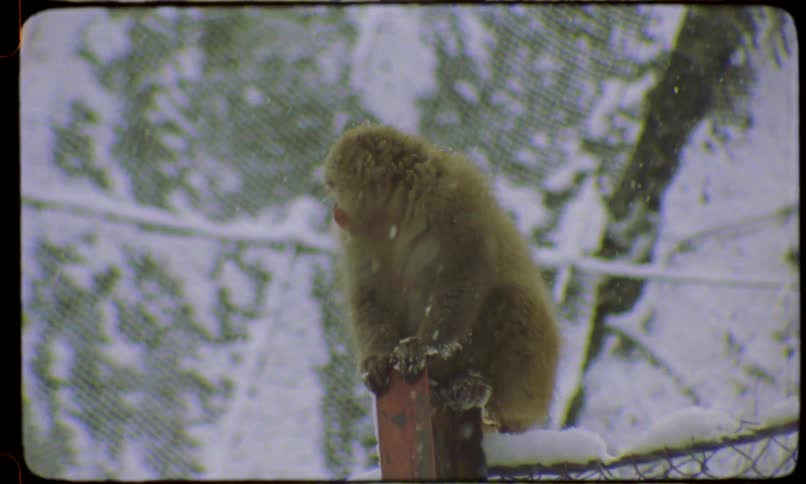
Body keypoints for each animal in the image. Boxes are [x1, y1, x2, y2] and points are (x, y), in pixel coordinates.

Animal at [323, 124, 560, 433]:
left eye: (332, 185)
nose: (335, 212)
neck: (398, 214)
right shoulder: (358, 241)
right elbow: (370, 296)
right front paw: (376, 360)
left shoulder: (457, 201)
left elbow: (460, 279)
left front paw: (422, 347)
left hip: (534, 378)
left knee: (510, 298)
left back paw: (478, 388)